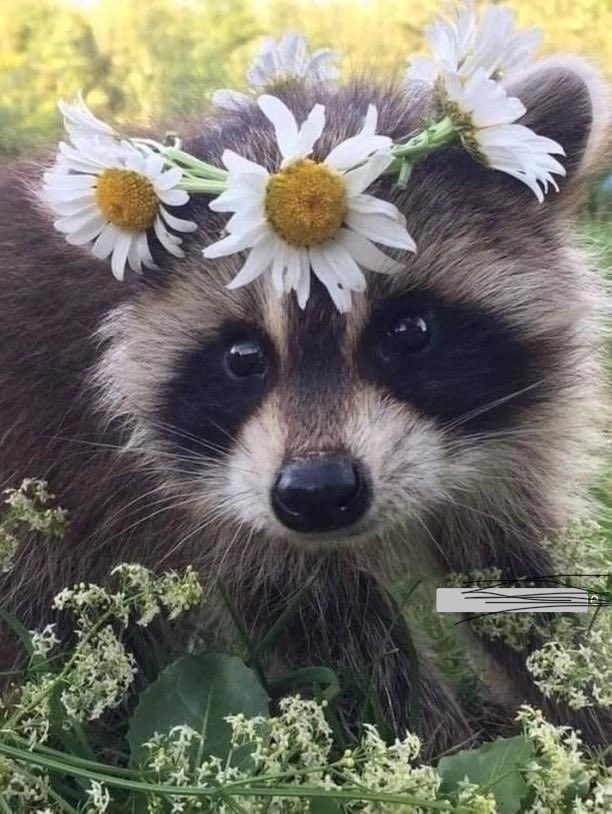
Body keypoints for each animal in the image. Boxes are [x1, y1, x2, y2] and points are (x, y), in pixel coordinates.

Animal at [0, 57, 610, 758]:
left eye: (409, 332)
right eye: (242, 356)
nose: (317, 493)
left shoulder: (505, 451)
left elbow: (520, 584)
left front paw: (580, 713)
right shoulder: (206, 507)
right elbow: (340, 643)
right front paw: (431, 758)